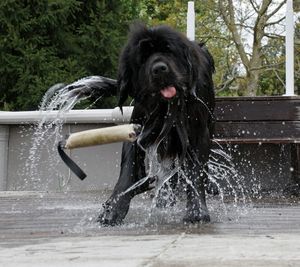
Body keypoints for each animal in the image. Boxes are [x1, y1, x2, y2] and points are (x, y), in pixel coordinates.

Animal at [59, 24, 214, 226]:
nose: (159, 69)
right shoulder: (138, 128)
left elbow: (195, 171)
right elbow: (128, 170)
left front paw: (197, 210)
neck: (166, 108)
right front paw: (114, 208)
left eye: (169, 51)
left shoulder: (197, 133)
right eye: (143, 58)